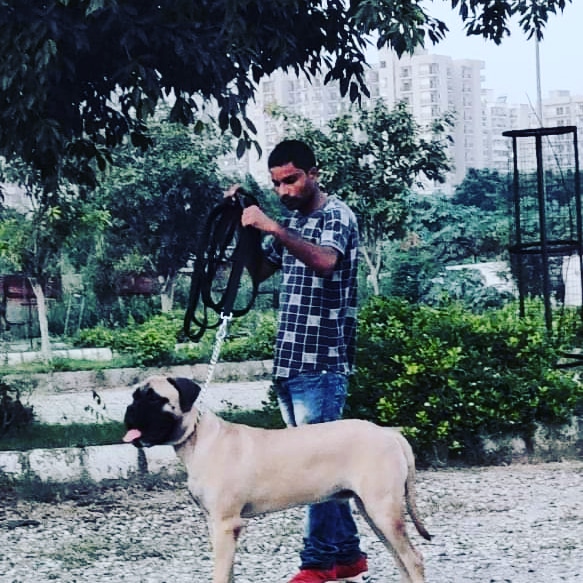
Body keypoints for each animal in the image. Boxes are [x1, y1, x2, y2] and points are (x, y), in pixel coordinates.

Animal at [124, 376, 434, 580]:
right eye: (134, 396)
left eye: (155, 398)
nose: (128, 411)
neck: (198, 437)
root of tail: (390, 434)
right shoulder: (219, 526)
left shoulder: (225, 524)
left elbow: (220, 573)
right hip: (372, 511)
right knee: (401, 559)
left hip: (383, 510)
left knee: (414, 559)